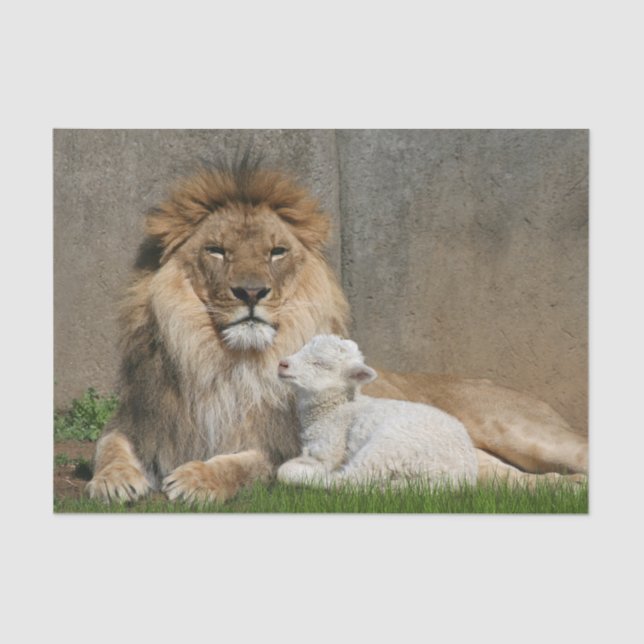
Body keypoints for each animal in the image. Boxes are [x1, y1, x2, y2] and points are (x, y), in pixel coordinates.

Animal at [276, 334, 478, 488]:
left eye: (320, 364)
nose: (282, 364)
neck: (335, 409)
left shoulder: (329, 447)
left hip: (387, 448)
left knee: (347, 482)